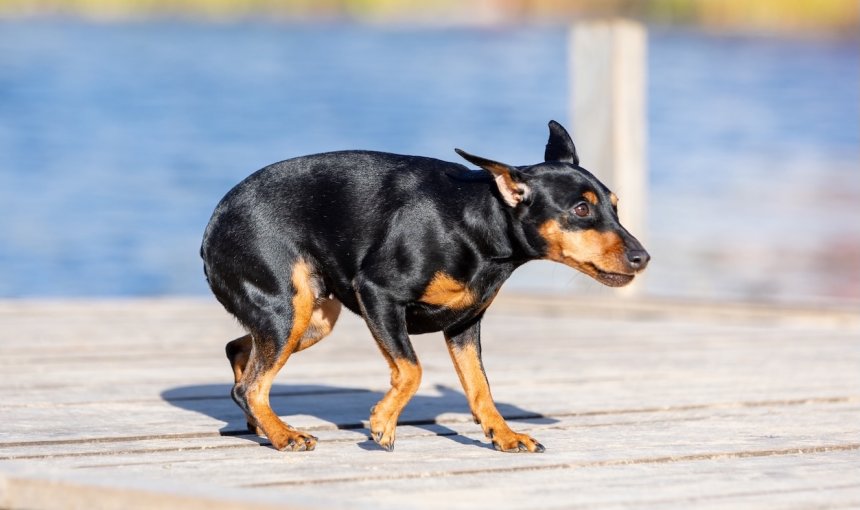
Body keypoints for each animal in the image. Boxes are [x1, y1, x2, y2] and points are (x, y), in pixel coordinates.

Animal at [200, 120, 644, 454]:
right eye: (581, 210)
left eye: (615, 207)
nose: (643, 257)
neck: (475, 223)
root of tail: (214, 224)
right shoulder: (378, 294)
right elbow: (412, 370)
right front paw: (383, 423)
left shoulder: (464, 325)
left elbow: (480, 387)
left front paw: (504, 435)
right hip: (288, 310)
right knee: (252, 385)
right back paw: (284, 434)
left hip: (310, 317)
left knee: (239, 356)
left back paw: (262, 425)